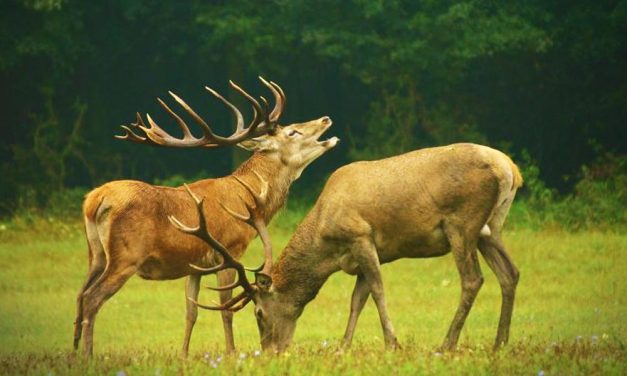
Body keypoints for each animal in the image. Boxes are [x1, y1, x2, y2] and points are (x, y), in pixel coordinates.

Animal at [73, 77, 338, 356]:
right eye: (292, 132)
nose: (325, 119)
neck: (249, 199)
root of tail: (96, 200)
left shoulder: (195, 264)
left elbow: (191, 312)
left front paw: (183, 355)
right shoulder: (229, 250)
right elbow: (226, 310)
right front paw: (231, 353)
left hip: (96, 254)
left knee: (80, 295)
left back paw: (74, 352)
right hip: (126, 256)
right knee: (92, 298)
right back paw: (88, 355)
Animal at [180, 143, 524, 352]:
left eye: (259, 312)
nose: (270, 351)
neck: (325, 246)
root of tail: (509, 168)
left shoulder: (361, 237)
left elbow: (378, 290)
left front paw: (392, 343)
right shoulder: (364, 255)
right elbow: (358, 299)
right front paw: (343, 346)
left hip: (461, 223)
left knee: (473, 279)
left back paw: (446, 344)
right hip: (490, 228)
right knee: (511, 273)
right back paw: (500, 342)